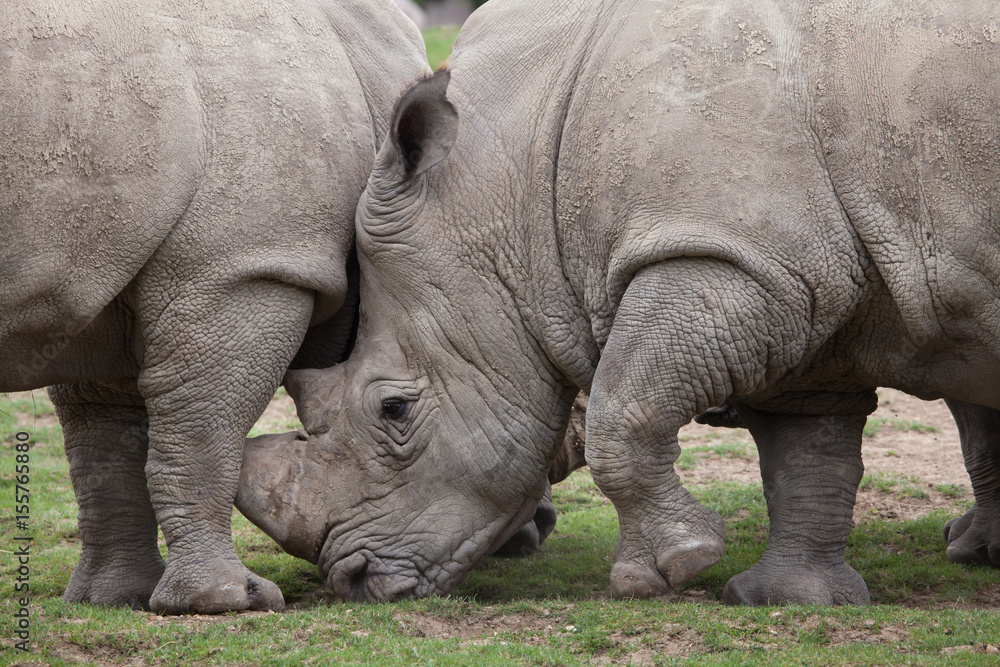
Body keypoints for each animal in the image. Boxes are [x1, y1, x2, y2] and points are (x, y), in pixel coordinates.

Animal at [0, 0, 429, 613]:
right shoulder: (245, 264)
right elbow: (203, 432)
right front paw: (229, 600)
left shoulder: (108, 266)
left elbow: (105, 441)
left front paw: (113, 599)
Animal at [236, 0, 1000, 605]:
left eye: (393, 409)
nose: (352, 580)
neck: (511, 185)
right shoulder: (803, 279)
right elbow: (809, 448)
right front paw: (789, 598)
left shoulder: (730, 255)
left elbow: (624, 408)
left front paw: (666, 571)